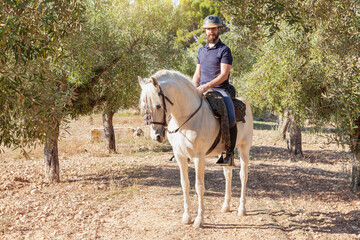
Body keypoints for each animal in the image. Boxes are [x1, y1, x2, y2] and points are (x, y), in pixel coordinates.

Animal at [138, 69, 253, 227]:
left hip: (244, 148)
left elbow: (199, 186)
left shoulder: (199, 157)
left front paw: (199, 219)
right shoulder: (180, 156)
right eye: (143, 107)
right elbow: (185, 184)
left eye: (158, 106)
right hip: (225, 153)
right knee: (228, 175)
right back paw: (226, 206)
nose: (156, 136)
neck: (186, 120)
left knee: (243, 175)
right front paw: (187, 217)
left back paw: (242, 208)